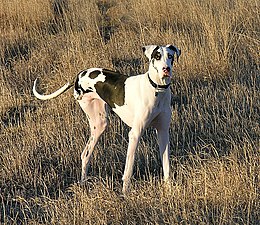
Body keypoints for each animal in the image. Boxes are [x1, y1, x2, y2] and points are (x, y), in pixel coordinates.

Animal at [32, 44, 181, 193]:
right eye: (157, 56)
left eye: (170, 56)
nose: (166, 69)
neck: (156, 89)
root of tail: (79, 75)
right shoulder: (135, 134)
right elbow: (128, 169)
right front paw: (125, 193)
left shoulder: (163, 132)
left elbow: (166, 165)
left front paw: (169, 189)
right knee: (86, 154)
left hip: (99, 125)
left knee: (85, 154)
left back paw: (83, 184)